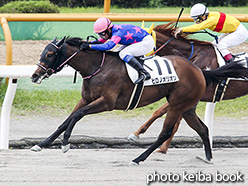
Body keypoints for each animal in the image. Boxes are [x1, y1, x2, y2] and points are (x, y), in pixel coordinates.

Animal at [30, 36, 247, 164]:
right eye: (43, 52)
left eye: (50, 54)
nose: (34, 76)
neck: (97, 67)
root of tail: (200, 70)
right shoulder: (86, 99)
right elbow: (66, 120)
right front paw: (41, 144)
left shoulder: (107, 103)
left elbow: (77, 116)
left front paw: (66, 144)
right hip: (187, 107)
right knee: (202, 129)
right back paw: (208, 158)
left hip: (177, 104)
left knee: (165, 132)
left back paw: (139, 157)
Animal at [130, 21, 248, 153]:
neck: (193, 57)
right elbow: (169, 118)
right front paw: (162, 147)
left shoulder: (186, 95)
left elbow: (161, 113)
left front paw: (138, 134)